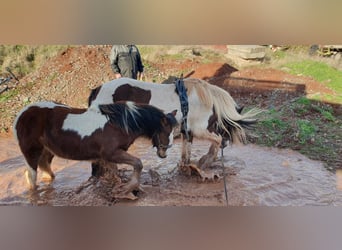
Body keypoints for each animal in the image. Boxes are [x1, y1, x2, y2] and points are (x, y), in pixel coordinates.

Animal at [12, 100, 179, 195]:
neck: (119, 124)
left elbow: (116, 173)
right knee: (31, 177)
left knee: (46, 172)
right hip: (32, 152)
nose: (164, 153)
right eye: (166, 131)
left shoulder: (112, 156)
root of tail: (21, 114)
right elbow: (138, 163)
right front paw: (129, 188)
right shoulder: (111, 153)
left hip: (47, 152)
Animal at [89, 77, 262, 178]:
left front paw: (188, 169)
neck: (206, 100)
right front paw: (205, 162)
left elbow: (186, 155)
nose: (226, 144)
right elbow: (216, 140)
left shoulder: (188, 131)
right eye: (229, 127)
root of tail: (97, 90)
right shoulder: (200, 129)